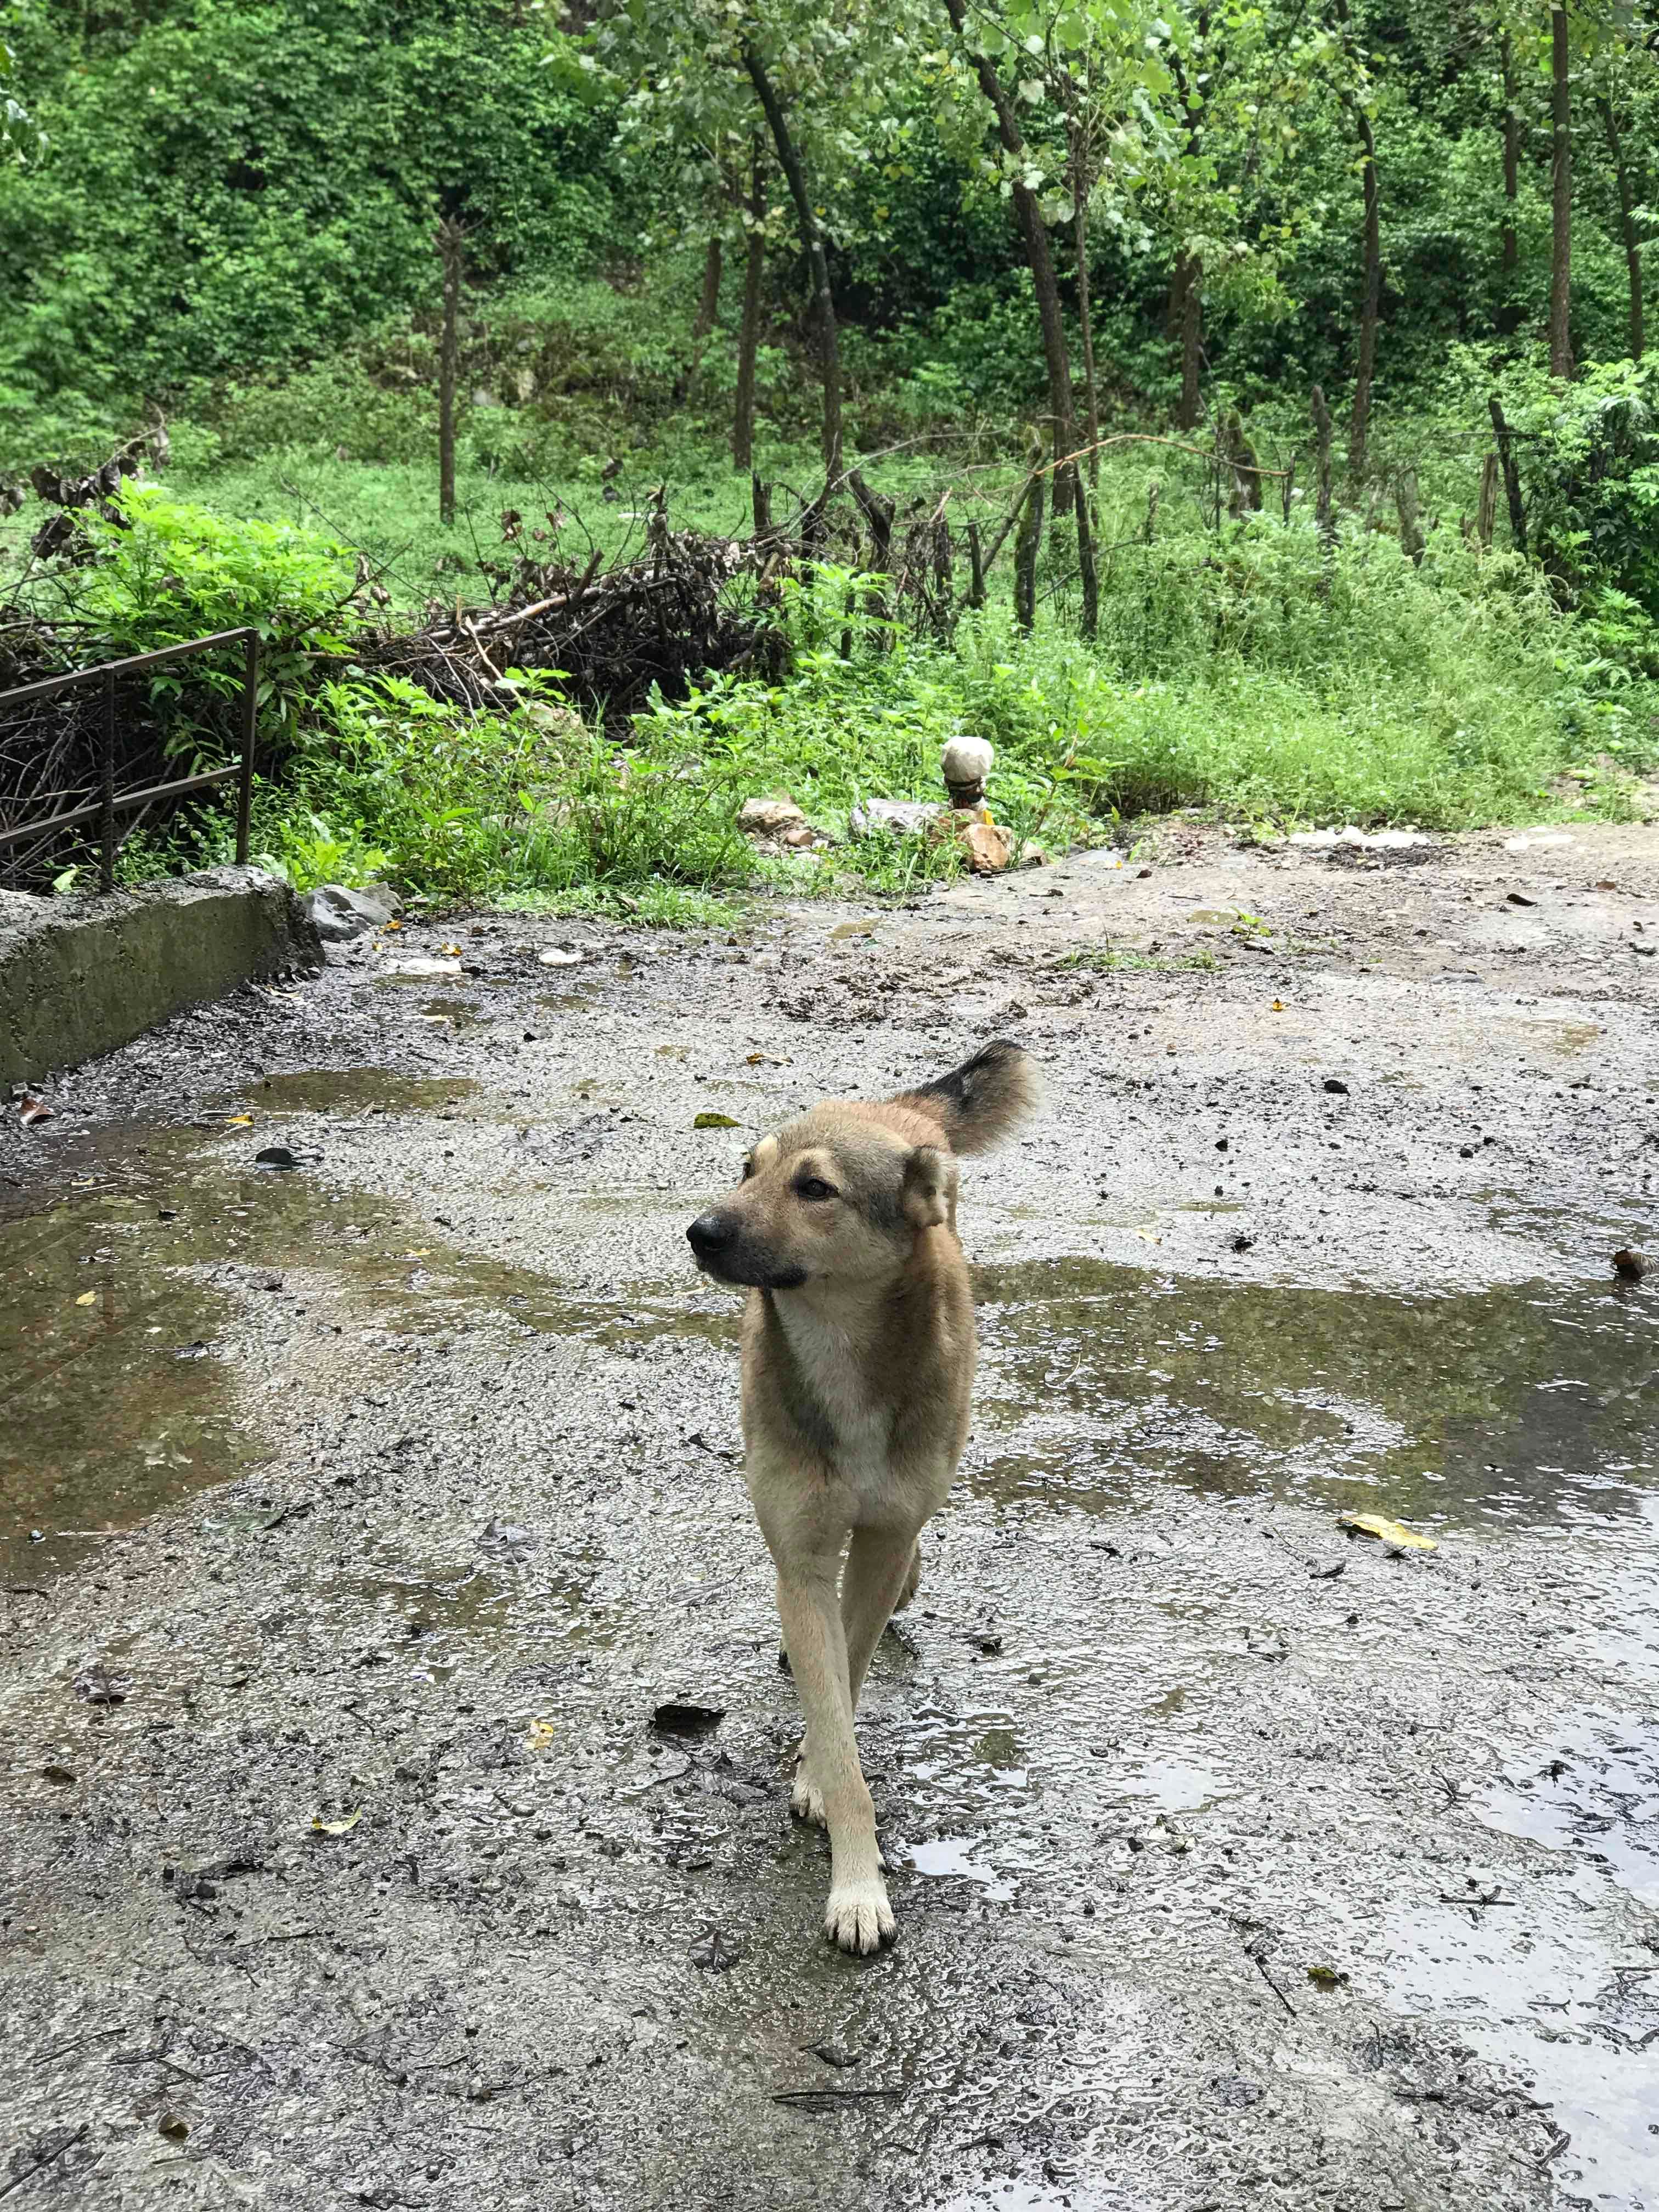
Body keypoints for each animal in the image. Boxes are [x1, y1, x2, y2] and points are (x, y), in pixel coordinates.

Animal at [690, 1040, 1040, 1955]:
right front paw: (854, 1879)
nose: (700, 1231)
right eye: (748, 1170)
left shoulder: (876, 1543)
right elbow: (836, 1714)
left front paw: (819, 1785)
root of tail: (894, 1110)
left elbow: (847, 1668)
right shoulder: (803, 1559)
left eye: (816, 1188)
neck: (840, 1345)